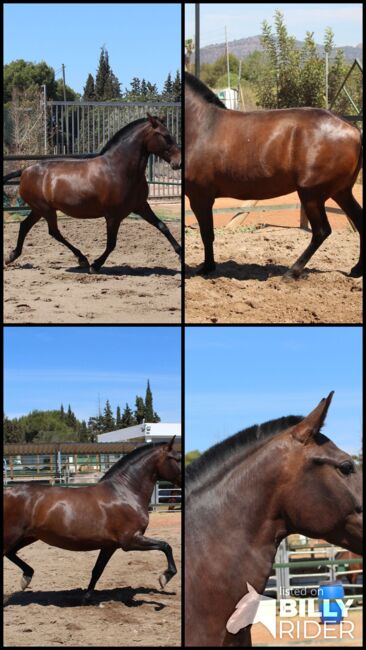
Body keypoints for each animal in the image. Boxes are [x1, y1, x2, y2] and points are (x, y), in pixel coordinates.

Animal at [2, 436, 180, 604]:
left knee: (11, 553)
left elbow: (97, 570)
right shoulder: (130, 541)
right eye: (176, 458)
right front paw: (165, 577)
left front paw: (86, 598)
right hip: (13, 535)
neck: (125, 492)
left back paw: (27, 577)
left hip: (27, 537)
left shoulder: (110, 546)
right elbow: (166, 546)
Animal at [5, 114, 182, 270]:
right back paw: (82, 259)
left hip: (38, 210)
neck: (118, 169)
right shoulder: (113, 216)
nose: (178, 163)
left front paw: (181, 255)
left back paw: (12, 256)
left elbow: (162, 226)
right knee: (54, 232)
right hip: (45, 209)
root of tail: (25, 170)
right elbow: (111, 243)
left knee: (25, 226)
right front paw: (96, 265)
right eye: (166, 136)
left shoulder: (141, 206)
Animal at [184, 72, 362, 278]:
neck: (202, 126)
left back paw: (292, 272)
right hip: (340, 192)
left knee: (321, 231)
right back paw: (356, 270)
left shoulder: (200, 197)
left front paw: (206, 268)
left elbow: (206, 234)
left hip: (312, 195)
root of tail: (353, 129)